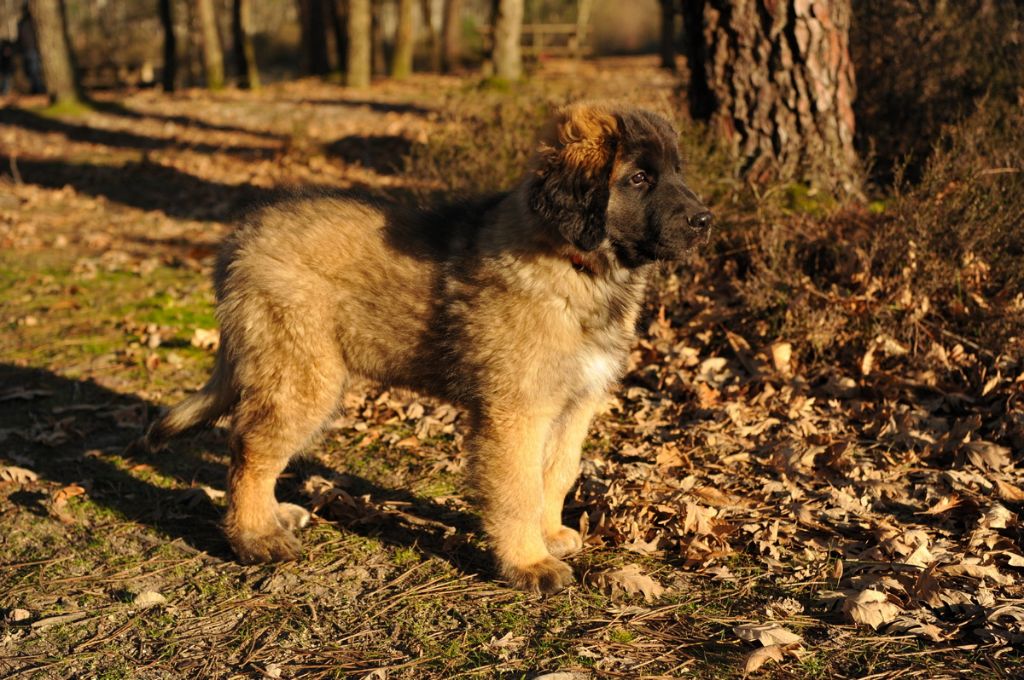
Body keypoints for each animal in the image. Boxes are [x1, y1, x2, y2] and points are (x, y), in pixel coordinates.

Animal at [142, 102, 712, 594]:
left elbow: (556, 472)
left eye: (677, 172)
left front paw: (549, 535)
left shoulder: (574, 402)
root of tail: (241, 236)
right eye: (638, 179)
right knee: (251, 450)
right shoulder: (515, 410)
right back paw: (255, 537)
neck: (578, 266)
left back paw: (277, 515)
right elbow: (518, 489)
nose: (705, 221)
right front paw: (529, 563)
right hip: (301, 372)